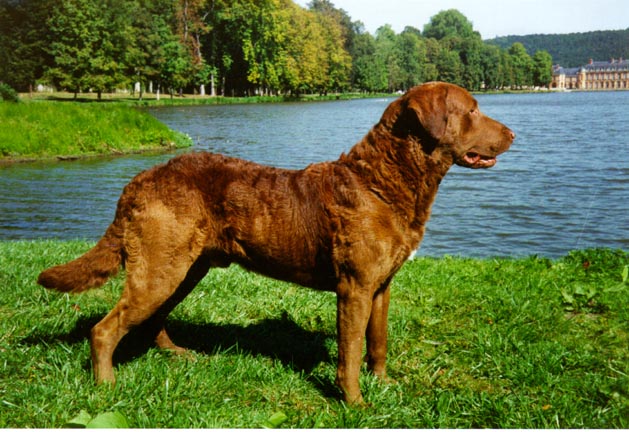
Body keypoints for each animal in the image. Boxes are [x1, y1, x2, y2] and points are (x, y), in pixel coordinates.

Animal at [38, 82, 510, 404]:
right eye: (473, 109)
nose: (512, 134)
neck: (382, 181)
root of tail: (139, 180)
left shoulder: (382, 286)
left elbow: (378, 341)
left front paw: (385, 384)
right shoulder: (354, 288)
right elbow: (351, 350)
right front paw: (355, 403)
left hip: (184, 267)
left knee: (153, 317)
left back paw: (178, 355)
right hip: (160, 267)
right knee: (104, 329)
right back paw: (106, 386)